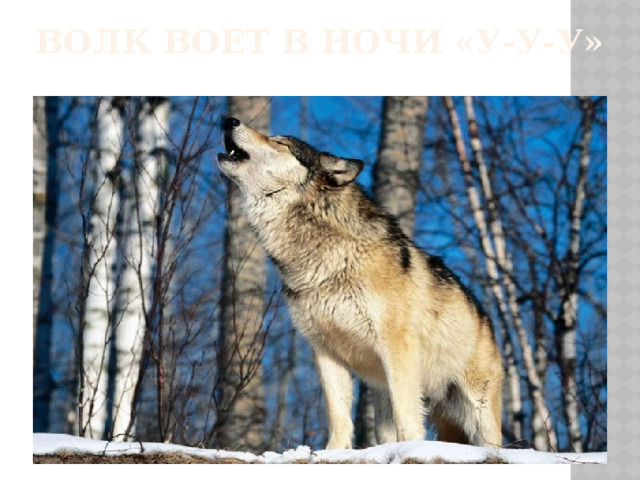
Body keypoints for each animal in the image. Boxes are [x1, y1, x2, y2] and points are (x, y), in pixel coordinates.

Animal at [217, 117, 503, 449]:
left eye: (280, 142)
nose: (228, 120)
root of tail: (486, 319)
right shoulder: (325, 352)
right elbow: (338, 415)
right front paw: (333, 453)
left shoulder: (397, 346)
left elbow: (408, 415)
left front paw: (410, 449)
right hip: (385, 397)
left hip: (477, 409)